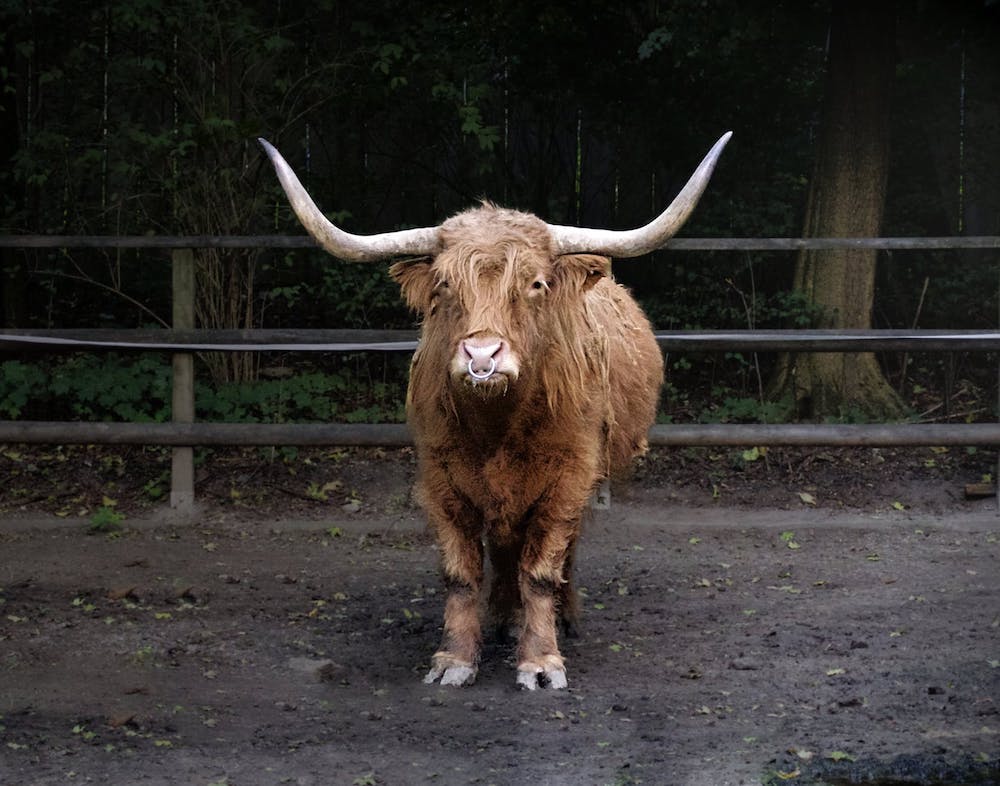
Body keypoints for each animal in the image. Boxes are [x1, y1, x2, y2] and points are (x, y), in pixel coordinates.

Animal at [259, 132, 731, 690]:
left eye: (535, 284)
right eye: (444, 286)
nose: (482, 356)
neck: (498, 427)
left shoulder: (568, 478)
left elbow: (542, 570)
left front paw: (542, 662)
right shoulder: (441, 481)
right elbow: (462, 573)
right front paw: (456, 658)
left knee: (559, 552)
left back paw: (565, 618)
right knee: (505, 550)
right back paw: (504, 619)